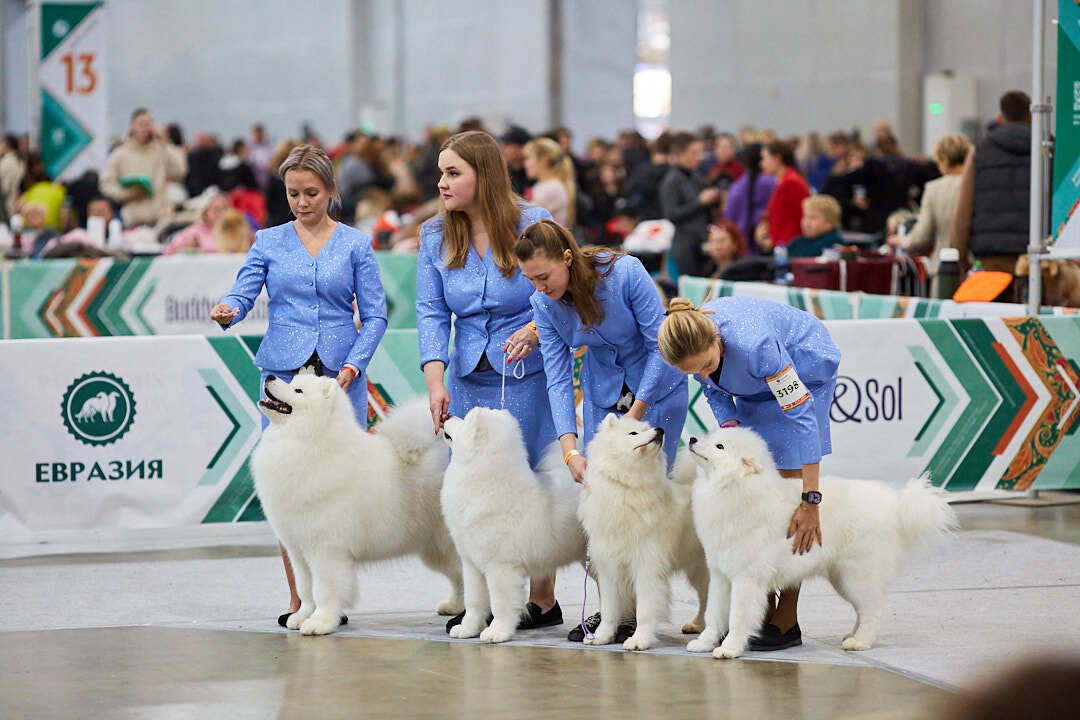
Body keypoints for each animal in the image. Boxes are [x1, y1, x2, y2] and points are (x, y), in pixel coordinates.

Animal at [250, 375, 462, 639]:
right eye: (293, 381)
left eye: (298, 390)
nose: (270, 376)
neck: (309, 440)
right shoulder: (297, 550)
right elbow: (305, 589)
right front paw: (300, 617)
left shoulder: (325, 550)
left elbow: (323, 590)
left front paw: (320, 623)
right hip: (436, 549)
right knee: (459, 575)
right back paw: (454, 606)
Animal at [438, 408, 587, 643]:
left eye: (465, 419)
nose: (448, 414)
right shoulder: (471, 564)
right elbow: (473, 601)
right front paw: (467, 629)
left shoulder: (501, 567)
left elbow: (500, 603)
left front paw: (497, 632)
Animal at [578, 410, 712, 651]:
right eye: (633, 433)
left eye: (648, 428)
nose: (660, 429)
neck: (627, 486)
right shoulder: (609, 566)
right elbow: (609, 608)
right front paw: (602, 636)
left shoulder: (646, 566)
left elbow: (644, 610)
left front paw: (639, 640)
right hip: (696, 568)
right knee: (705, 597)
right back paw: (697, 624)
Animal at [686, 427, 959, 660]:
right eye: (711, 436)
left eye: (720, 446)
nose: (692, 439)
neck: (733, 487)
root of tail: (896, 505)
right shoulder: (720, 575)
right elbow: (714, 613)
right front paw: (704, 643)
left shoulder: (746, 578)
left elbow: (737, 617)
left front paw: (729, 648)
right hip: (843, 579)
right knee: (863, 608)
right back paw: (852, 635)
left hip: (857, 574)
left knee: (873, 609)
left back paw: (860, 642)